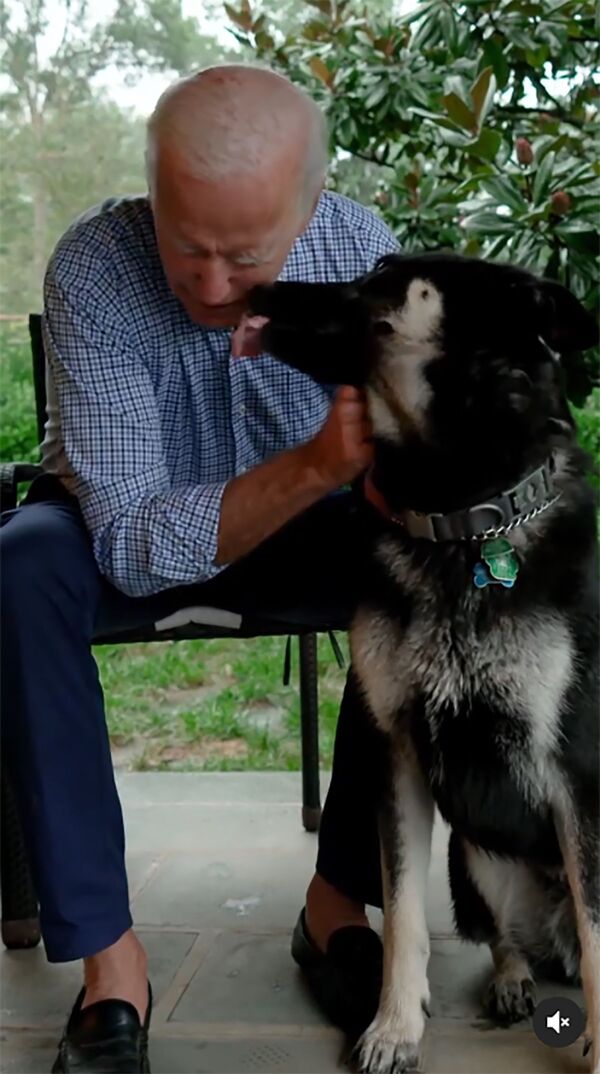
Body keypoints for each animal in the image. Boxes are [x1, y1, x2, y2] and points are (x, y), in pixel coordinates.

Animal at [245, 257, 600, 1074]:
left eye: (387, 276)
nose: (253, 289)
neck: (461, 521)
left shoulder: (577, 773)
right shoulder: (398, 754)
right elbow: (403, 911)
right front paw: (395, 1027)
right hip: (480, 864)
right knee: (505, 938)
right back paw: (512, 978)